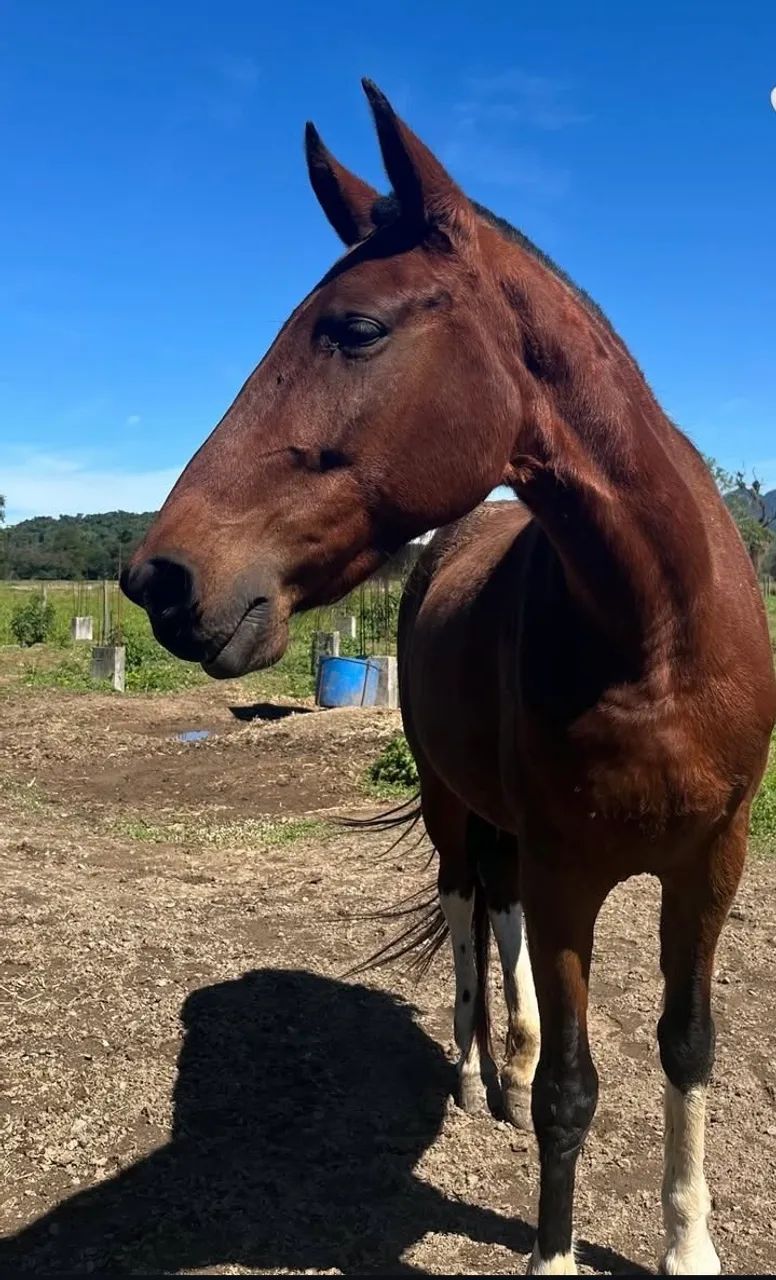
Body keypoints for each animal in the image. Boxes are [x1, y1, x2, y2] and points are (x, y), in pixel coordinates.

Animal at [121, 81, 776, 1275]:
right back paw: (481, 1069)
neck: (655, 633)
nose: (161, 577)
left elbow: (687, 1046)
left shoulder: (710, 863)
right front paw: (552, 1252)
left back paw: (504, 1059)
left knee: (496, 914)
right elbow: (573, 1087)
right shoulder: (571, 874)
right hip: (448, 801)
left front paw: (688, 1244)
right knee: (472, 907)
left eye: (357, 329)